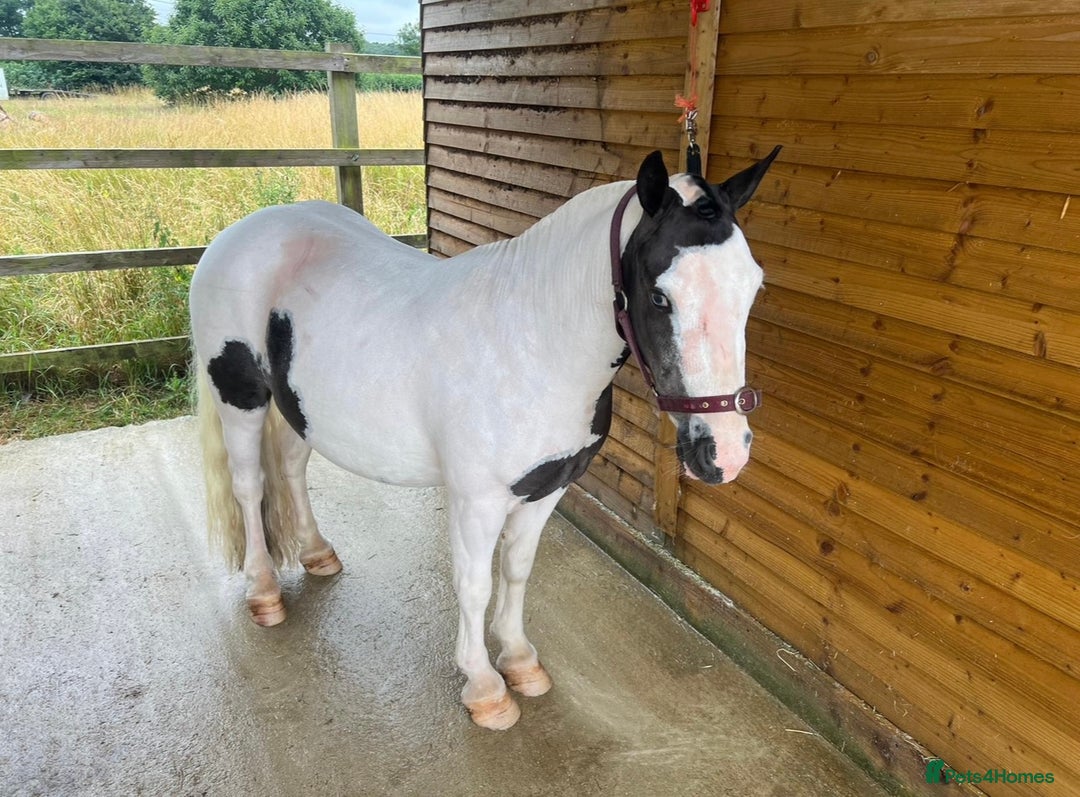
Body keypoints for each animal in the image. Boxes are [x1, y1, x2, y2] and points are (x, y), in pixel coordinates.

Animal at [189, 147, 780, 730]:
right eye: (659, 297)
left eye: (754, 285)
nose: (724, 452)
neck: (532, 344)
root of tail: (238, 233)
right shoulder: (477, 501)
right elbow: (474, 585)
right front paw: (484, 687)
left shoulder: (547, 489)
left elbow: (516, 572)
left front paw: (519, 661)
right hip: (241, 398)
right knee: (249, 487)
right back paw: (265, 592)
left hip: (300, 409)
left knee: (290, 468)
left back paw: (317, 553)